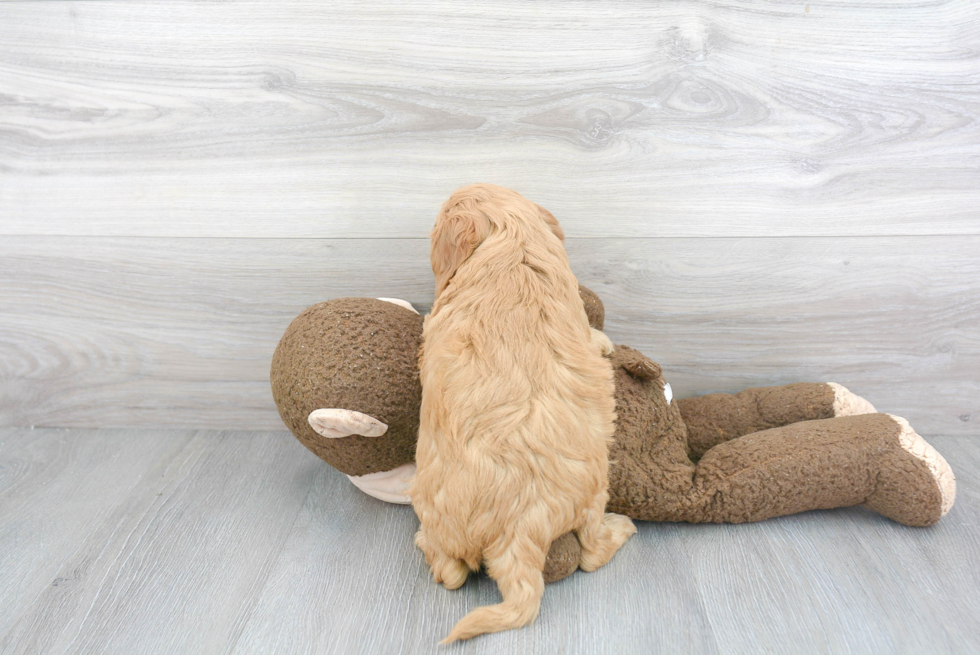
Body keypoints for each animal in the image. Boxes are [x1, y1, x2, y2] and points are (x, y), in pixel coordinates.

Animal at [406, 182, 636, 644]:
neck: (514, 246)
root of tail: (519, 528)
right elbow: (592, 336)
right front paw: (605, 342)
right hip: (594, 489)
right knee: (590, 553)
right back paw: (622, 527)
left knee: (453, 572)